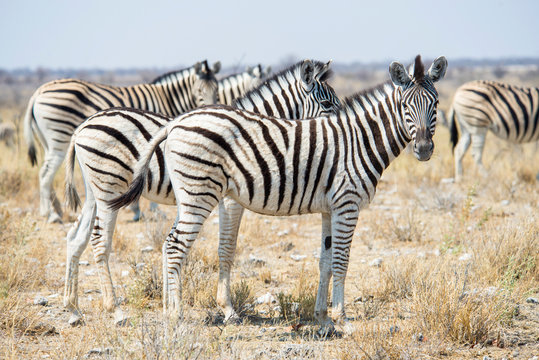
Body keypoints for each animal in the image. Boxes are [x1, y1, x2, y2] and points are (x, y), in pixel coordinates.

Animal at [22, 60, 221, 224]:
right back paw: (50, 215)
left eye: (217, 91)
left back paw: (54, 209)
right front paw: (151, 211)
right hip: (60, 137)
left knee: (45, 172)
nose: (210, 108)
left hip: (48, 141)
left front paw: (136, 208)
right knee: (46, 173)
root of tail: (38, 91)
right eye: (199, 91)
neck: (167, 99)